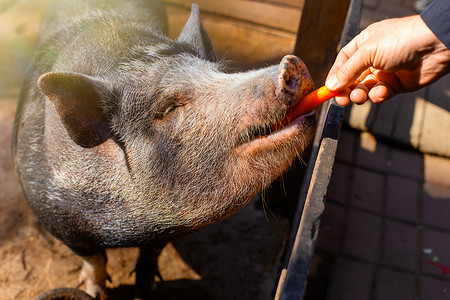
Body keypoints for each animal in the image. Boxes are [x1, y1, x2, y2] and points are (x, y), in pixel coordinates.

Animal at [14, 0, 316, 298]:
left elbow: (152, 253)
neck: (130, 229)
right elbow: (94, 260)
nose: (290, 63)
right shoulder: (53, 216)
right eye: (168, 108)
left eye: (218, 73)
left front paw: (149, 287)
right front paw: (96, 293)